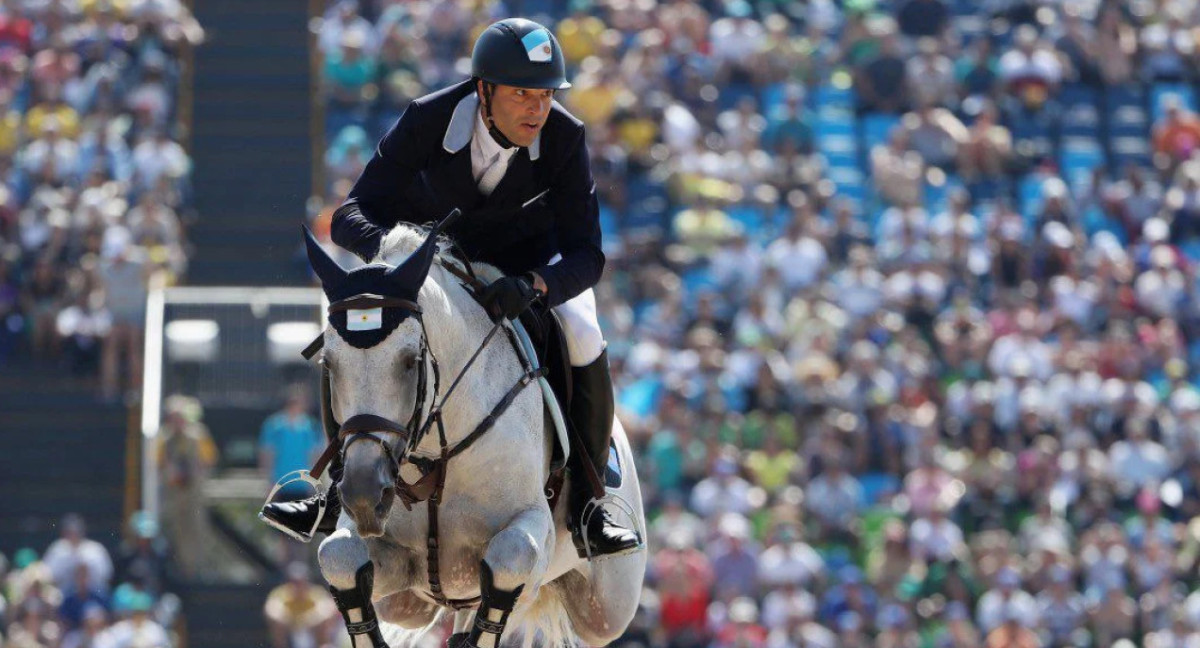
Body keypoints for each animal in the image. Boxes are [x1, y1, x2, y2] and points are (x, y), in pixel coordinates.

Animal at [304, 216, 652, 648]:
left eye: (410, 361)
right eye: (329, 365)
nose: (365, 495)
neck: (439, 449)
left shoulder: (531, 533)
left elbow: (509, 560)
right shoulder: (387, 550)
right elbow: (339, 557)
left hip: (606, 608)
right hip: (410, 606)